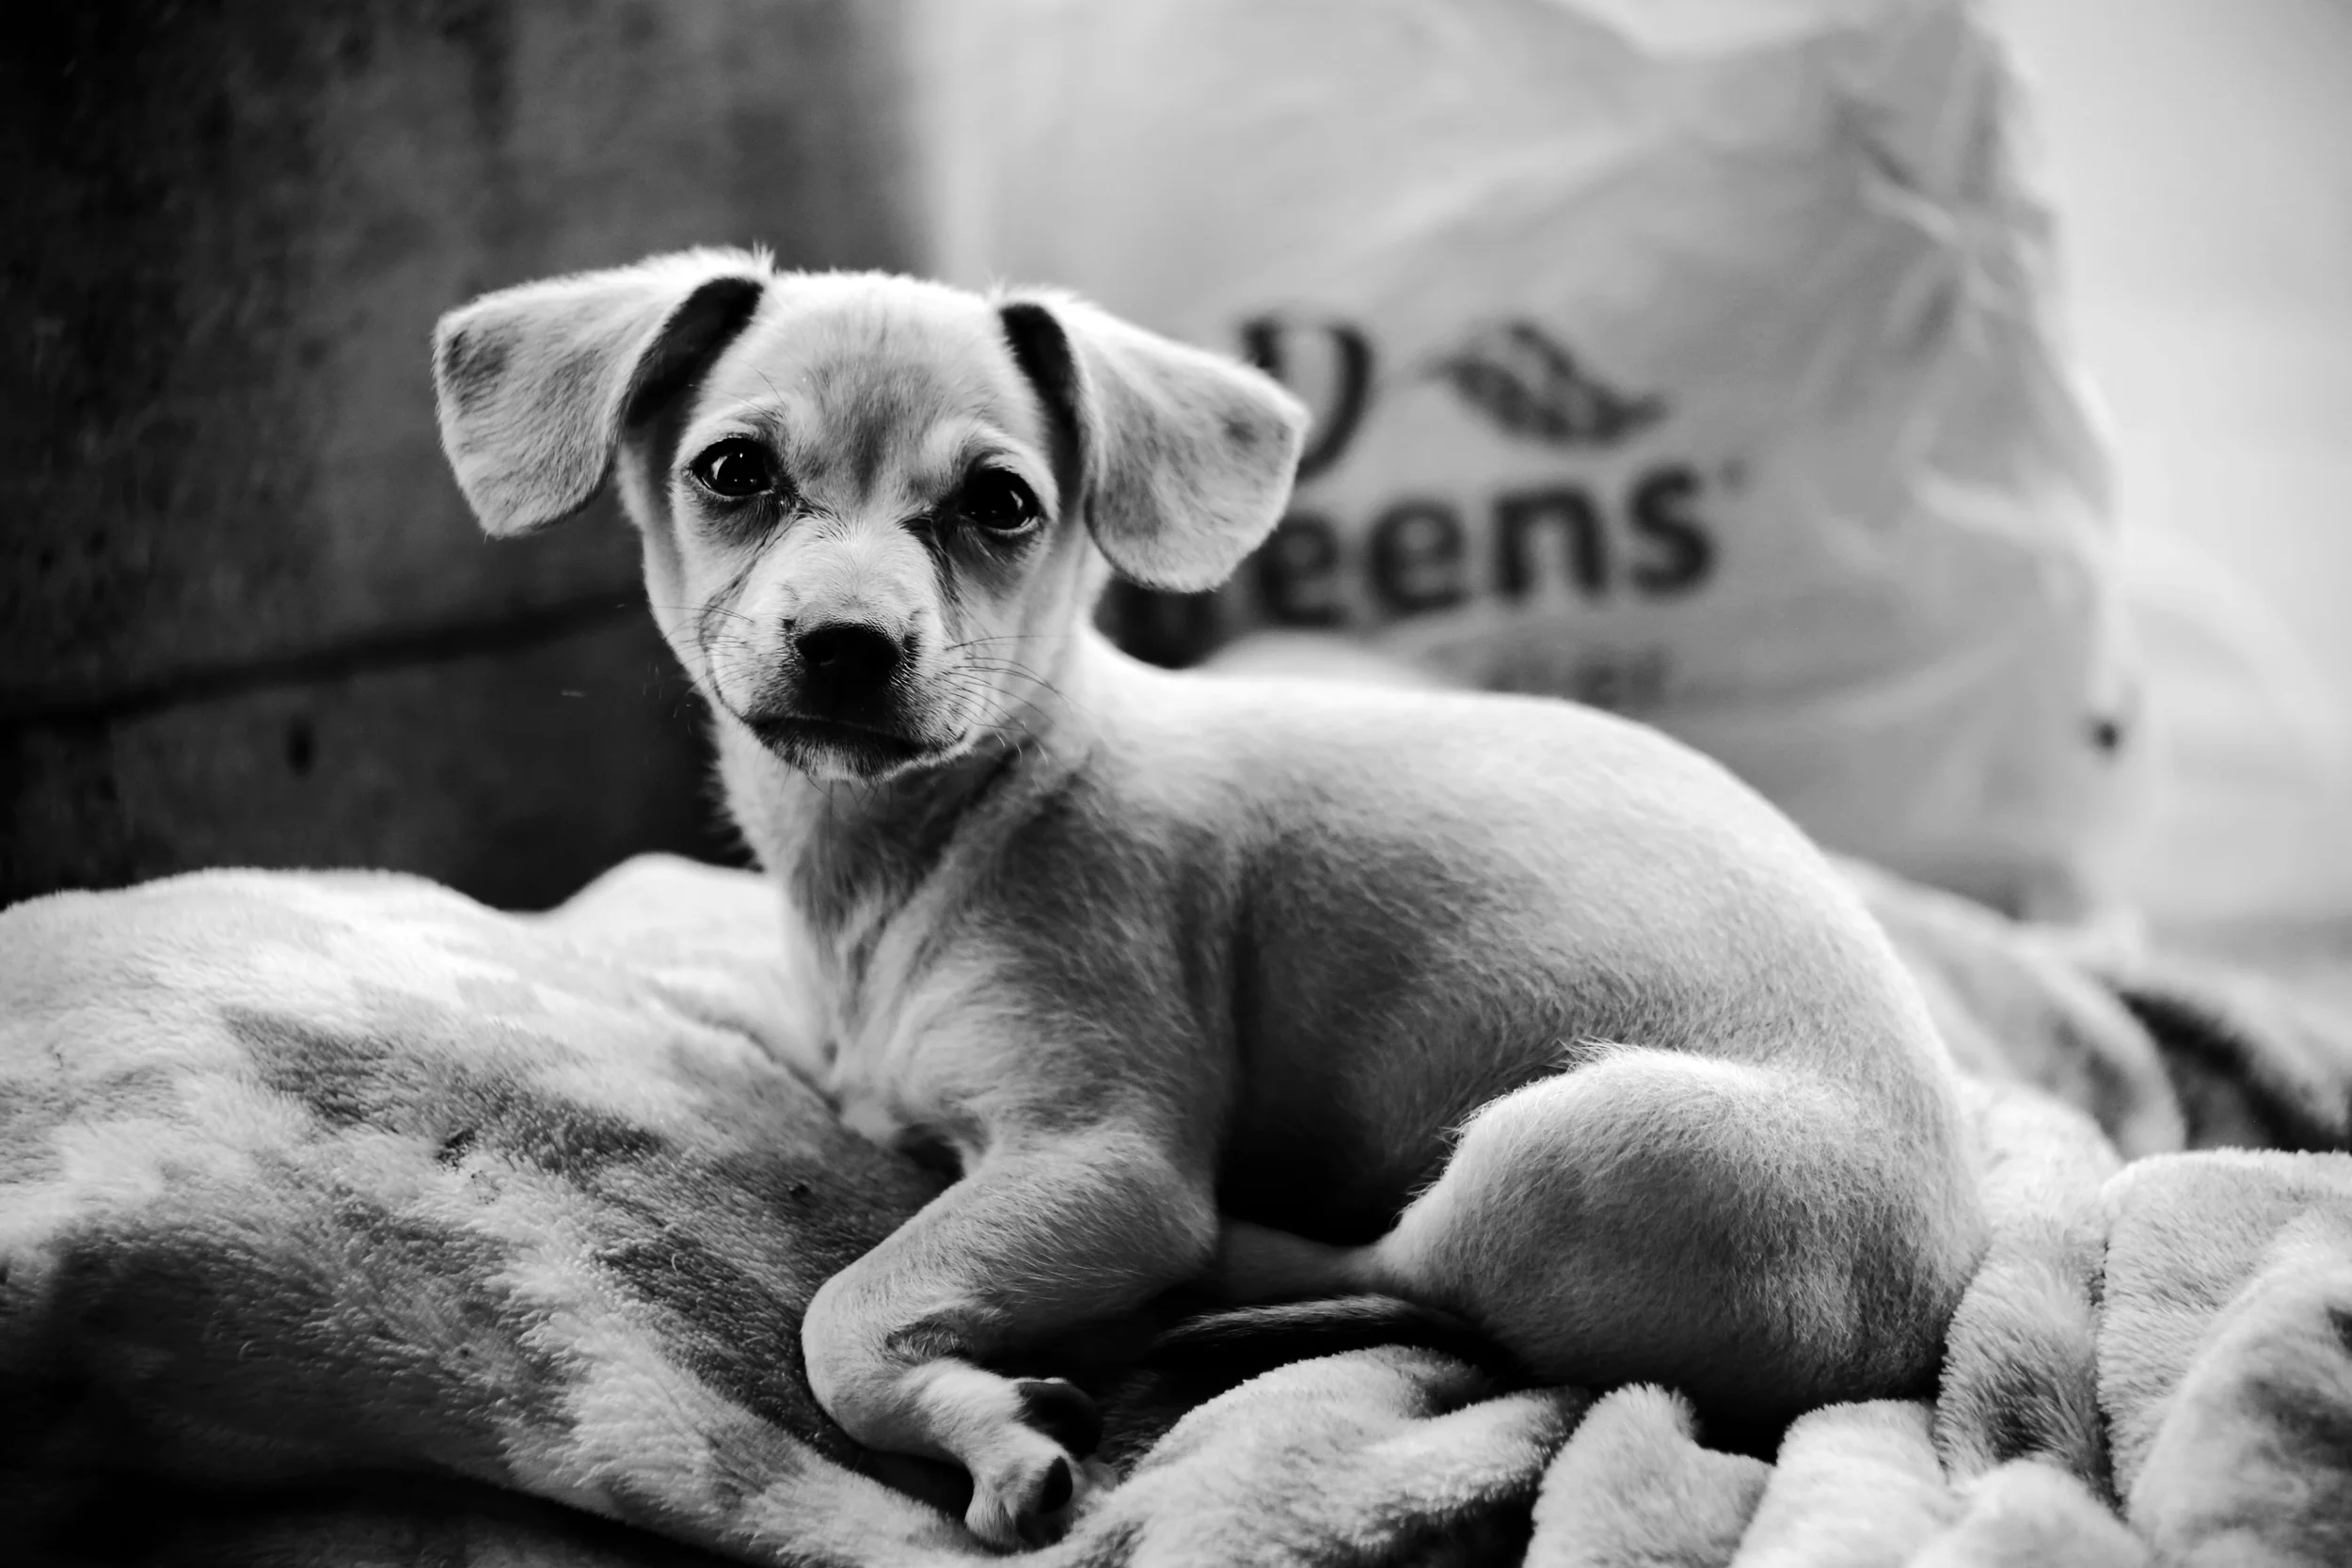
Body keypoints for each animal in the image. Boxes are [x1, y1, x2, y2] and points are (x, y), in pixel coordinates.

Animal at [432, 248, 1987, 1549]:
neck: (933, 840)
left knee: (1402, 1268)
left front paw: (986, 1426)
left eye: (1002, 503)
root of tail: (1923, 1311)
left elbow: (842, 1309)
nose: (848, 639)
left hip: (1567, 1145)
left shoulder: (1106, 1156)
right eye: (734, 469)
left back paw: (1220, 1280)